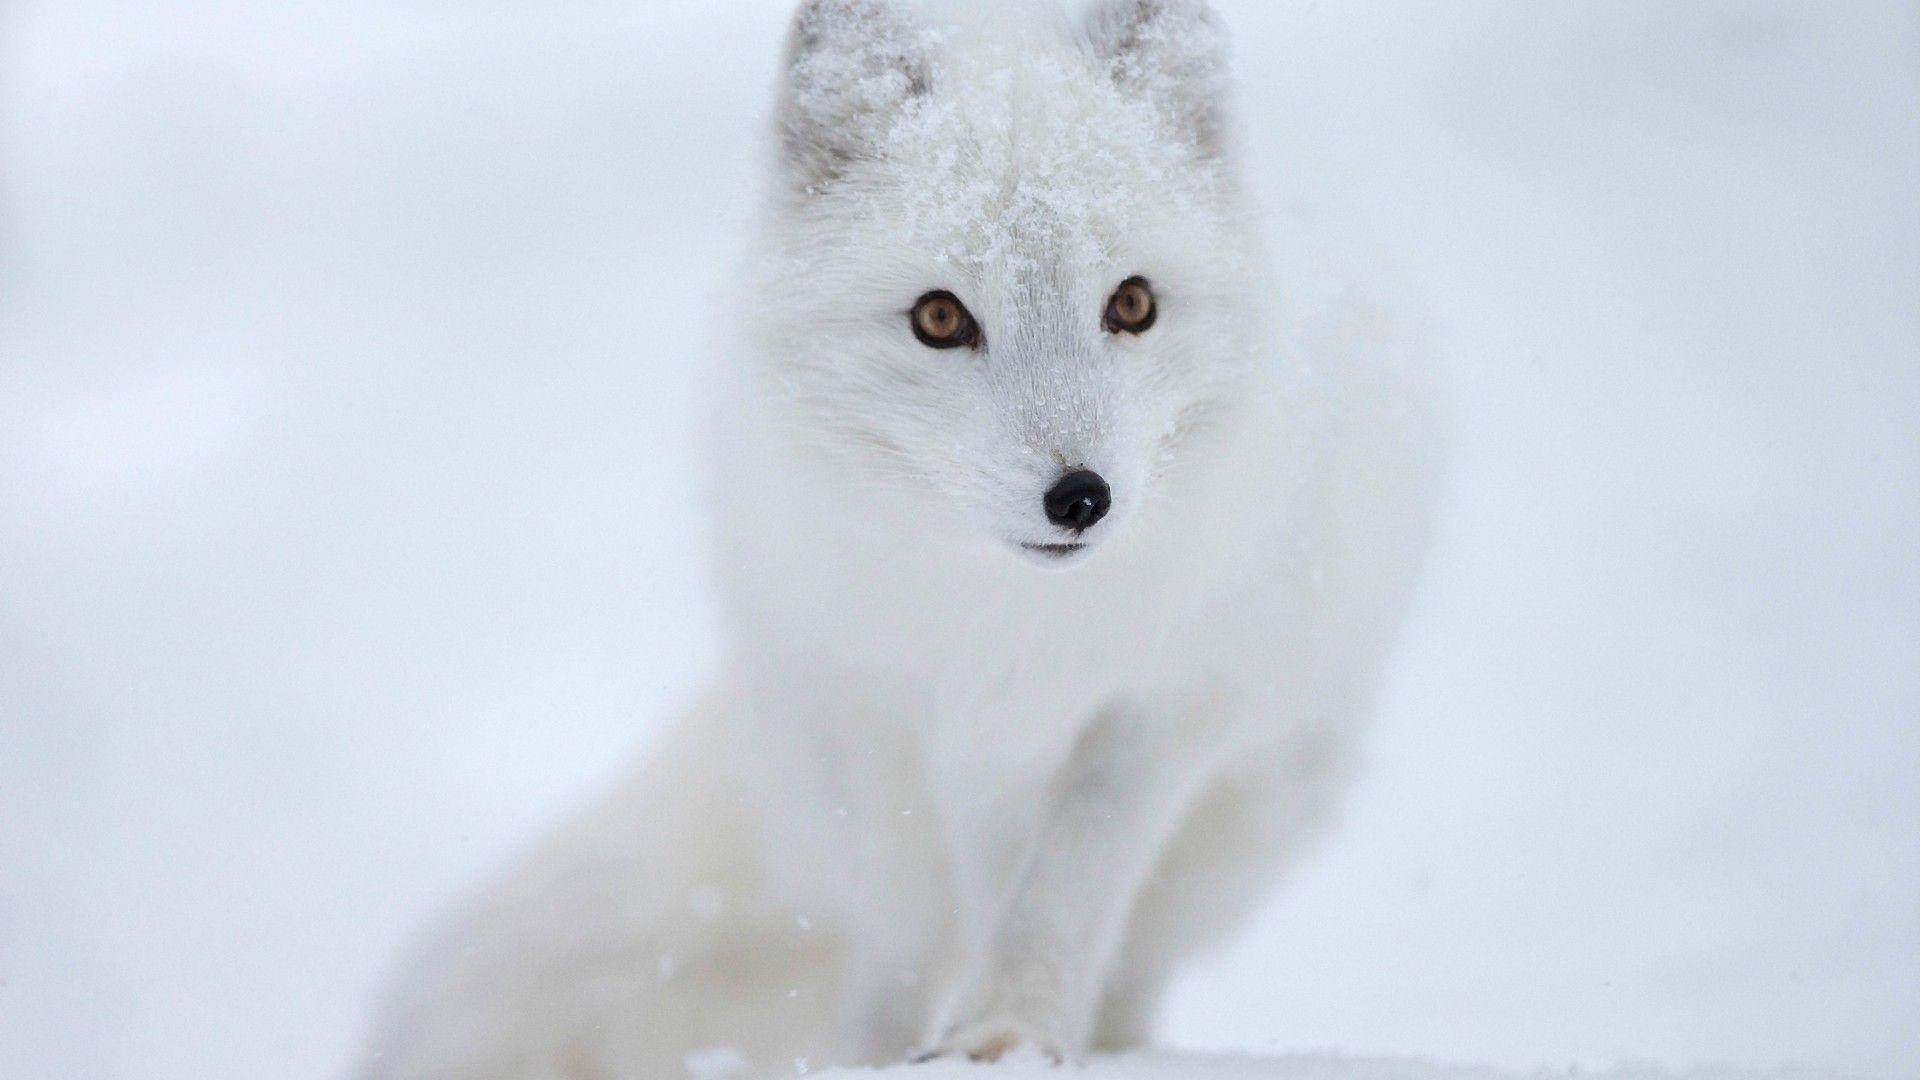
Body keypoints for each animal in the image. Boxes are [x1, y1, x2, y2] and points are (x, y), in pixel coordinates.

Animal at [359, 0, 1439, 1077]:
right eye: (940, 317)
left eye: (1132, 304)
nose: (1080, 499)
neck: (1010, 628)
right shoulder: (871, 712)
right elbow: (906, 934)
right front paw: (883, 1056)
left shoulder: (1162, 710)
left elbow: (1066, 889)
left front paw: (1013, 1033)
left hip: (1258, 800)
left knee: (1133, 955)